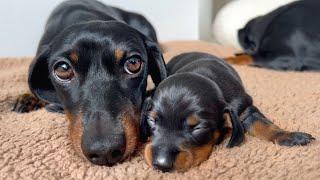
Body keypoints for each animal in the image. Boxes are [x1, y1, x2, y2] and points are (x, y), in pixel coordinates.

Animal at [141, 52, 314, 172]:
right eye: (152, 120)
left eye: (198, 128)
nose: (161, 164)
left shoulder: (244, 109)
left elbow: (264, 125)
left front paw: (290, 136)